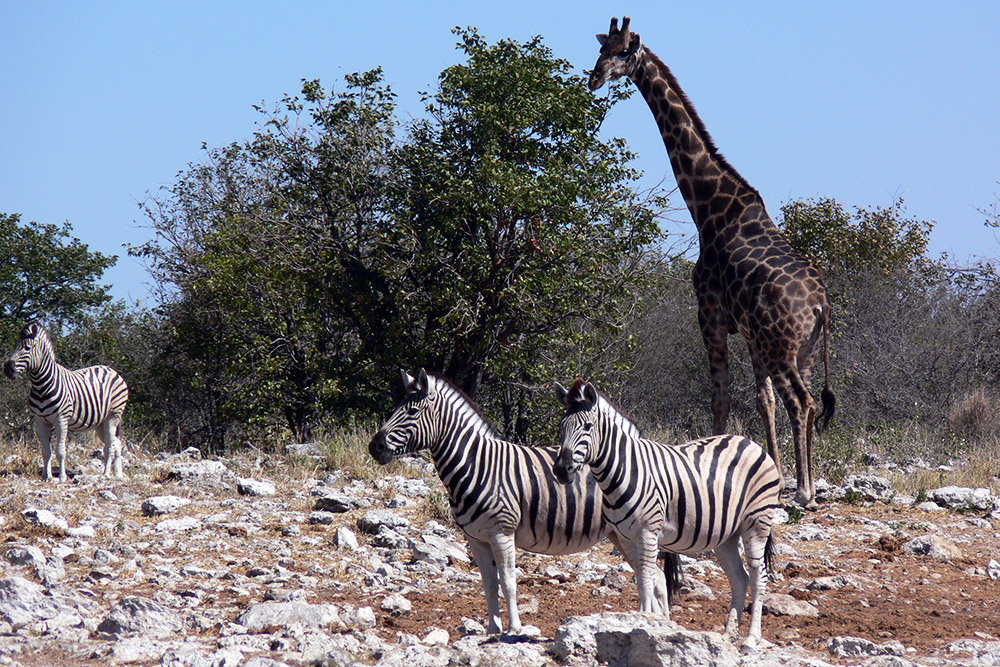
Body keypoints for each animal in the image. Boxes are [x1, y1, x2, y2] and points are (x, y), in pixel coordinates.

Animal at [3, 321, 129, 481]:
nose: (8, 369)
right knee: (116, 443)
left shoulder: (61, 419)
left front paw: (62, 477)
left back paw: (106, 474)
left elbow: (60, 450)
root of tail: (111, 369)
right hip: (100, 422)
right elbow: (46, 451)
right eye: (15, 347)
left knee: (110, 446)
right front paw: (46, 476)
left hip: (113, 415)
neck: (40, 386)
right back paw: (118, 475)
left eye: (27, 348)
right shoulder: (40, 421)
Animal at [368, 369, 670, 637]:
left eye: (411, 412)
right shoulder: (476, 539)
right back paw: (656, 622)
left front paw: (514, 628)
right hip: (622, 535)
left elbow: (509, 583)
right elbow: (489, 585)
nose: (375, 447)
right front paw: (491, 631)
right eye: (397, 408)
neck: (478, 465)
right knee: (657, 576)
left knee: (654, 576)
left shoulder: (502, 532)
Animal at [553, 379, 779, 651]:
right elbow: (644, 581)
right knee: (739, 578)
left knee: (758, 578)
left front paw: (644, 622)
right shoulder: (626, 538)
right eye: (561, 427)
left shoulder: (648, 533)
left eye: (587, 426)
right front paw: (646, 621)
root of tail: (751, 443)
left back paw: (751, 639)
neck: (624, 470)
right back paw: (727, 636)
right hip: (726, 535)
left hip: (757, 523)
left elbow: (647, 580)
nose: (561, 470)